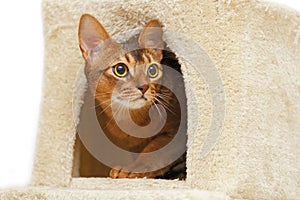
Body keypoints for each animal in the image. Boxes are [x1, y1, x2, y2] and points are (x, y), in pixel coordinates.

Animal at [77, 14, 186, 180]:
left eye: (152, 70)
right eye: (120, 69)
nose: (144, 87)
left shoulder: (176, 133)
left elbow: (154, 154)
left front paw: (131, 170)